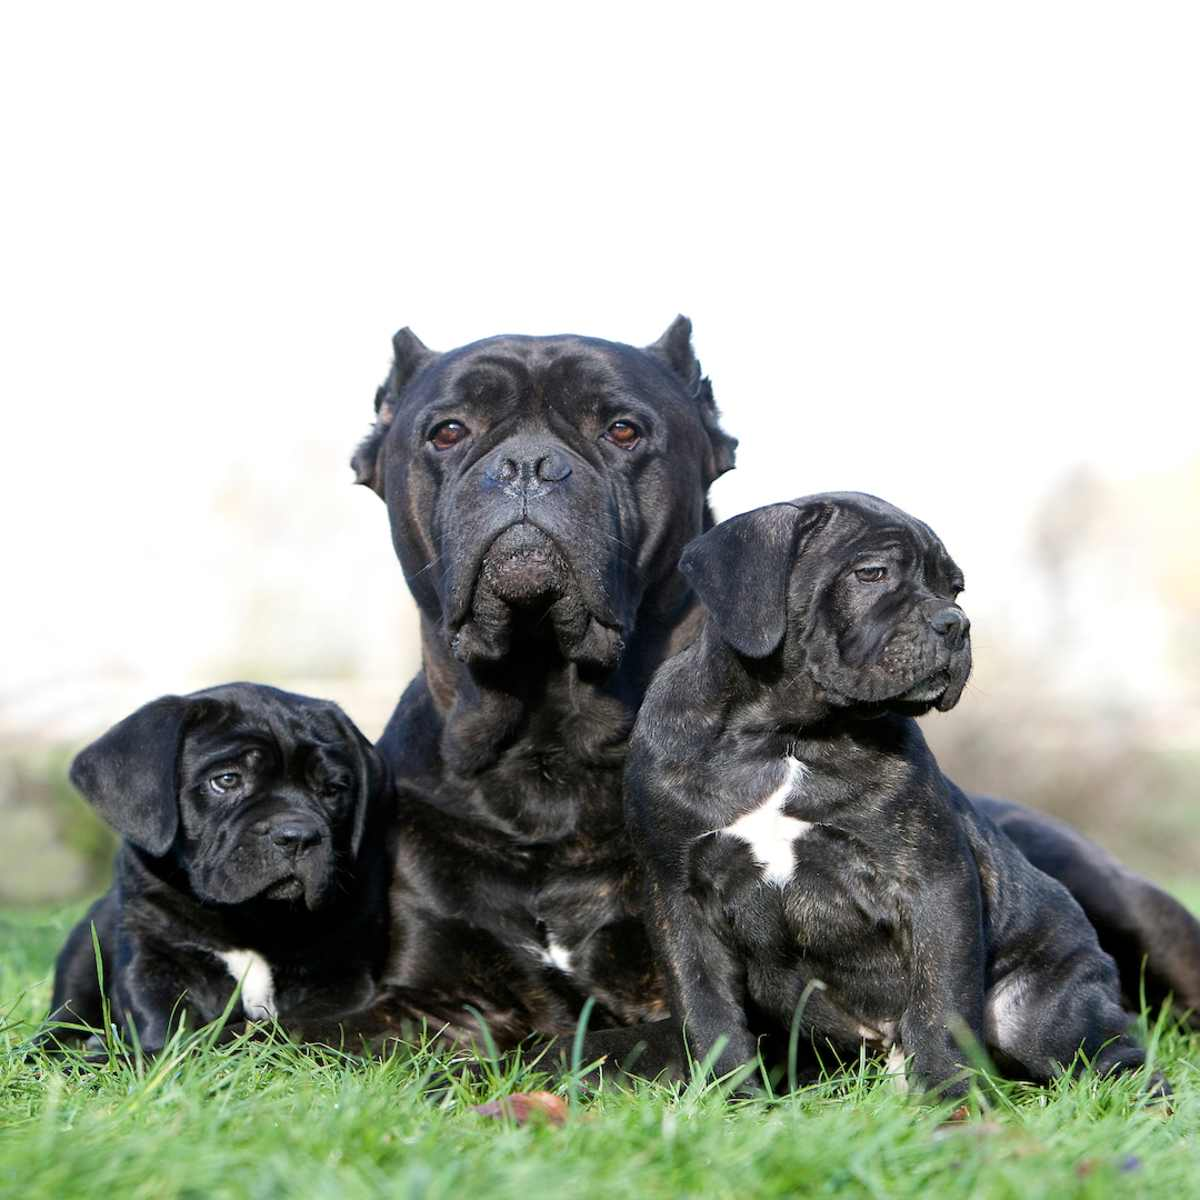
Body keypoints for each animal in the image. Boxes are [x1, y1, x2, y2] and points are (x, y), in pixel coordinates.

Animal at [46, 681, 391, 1056]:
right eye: (226, 780)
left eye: (332, 790)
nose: (298, 836)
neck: (251, 919)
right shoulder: (153, 957)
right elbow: (164, 1023)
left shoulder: (341, 980)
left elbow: (278, 1027)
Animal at [628, 489, 1161, 1099]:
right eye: (872, 573)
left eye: (955, 589)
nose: (956, 622)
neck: (785, 736)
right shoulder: (679, 898)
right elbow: (707, 1009)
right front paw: (732, 1098)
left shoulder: (933, 882)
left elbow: (939, 1002)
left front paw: (949, 1098)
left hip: (1043, 1013)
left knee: (1110, 1058)